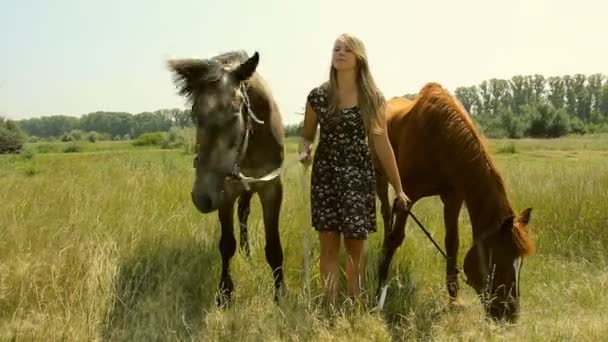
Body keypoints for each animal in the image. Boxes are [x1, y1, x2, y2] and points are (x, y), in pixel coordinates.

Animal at [167, 50, 286, 304]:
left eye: (233, 114)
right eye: (194, 113)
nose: (201, 197)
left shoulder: (271, 187)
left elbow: (274, 247)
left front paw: (280, 295)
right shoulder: (225, 191)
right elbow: (226, 245)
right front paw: (225, 293)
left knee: (244, 214)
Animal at [376, 81, 536, 322]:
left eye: (521, 262)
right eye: (499, 259)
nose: (509, 314)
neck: (437, 137)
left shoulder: (453, 198)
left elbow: (452, 243)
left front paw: (455, 299)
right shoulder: (408, 196)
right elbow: (396, 238)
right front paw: (380, 284)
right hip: (379, 177)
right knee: (386, 215)